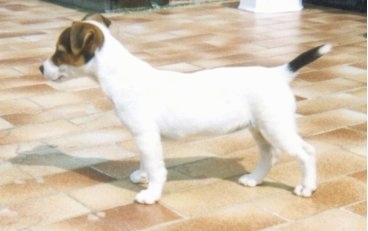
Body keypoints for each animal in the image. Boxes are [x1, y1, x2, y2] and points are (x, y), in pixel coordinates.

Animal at [39, 13, 330, 204]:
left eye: (60, 51)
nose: (41, 68)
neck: (120, 74)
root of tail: (279, 73)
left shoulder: (146, 135)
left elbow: (156, 168)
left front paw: (151, 194)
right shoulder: (144, 137)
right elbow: (145, 160)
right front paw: (142, 176)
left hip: (276, 127)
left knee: (307, 153)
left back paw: (307, 187)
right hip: (259, 128)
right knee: (269, 155)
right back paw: (254, 179)